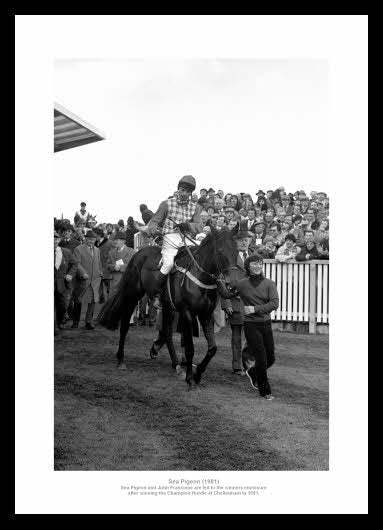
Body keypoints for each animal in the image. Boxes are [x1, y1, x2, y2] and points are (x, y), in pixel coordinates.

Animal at [97, 225, 240, 386]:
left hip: (167, 306)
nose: (233, 286)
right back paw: (121, 359)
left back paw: (176, 364)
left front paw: (197, 373)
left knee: (167, 332)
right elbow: (190, 348)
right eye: (220, 250)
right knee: (125, 325)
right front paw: (190, 379)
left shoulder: (205, 314)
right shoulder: (187, 313)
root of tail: (138, 252)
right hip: (132, 295)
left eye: (236, 250)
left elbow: (212, 348)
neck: (199, 276)